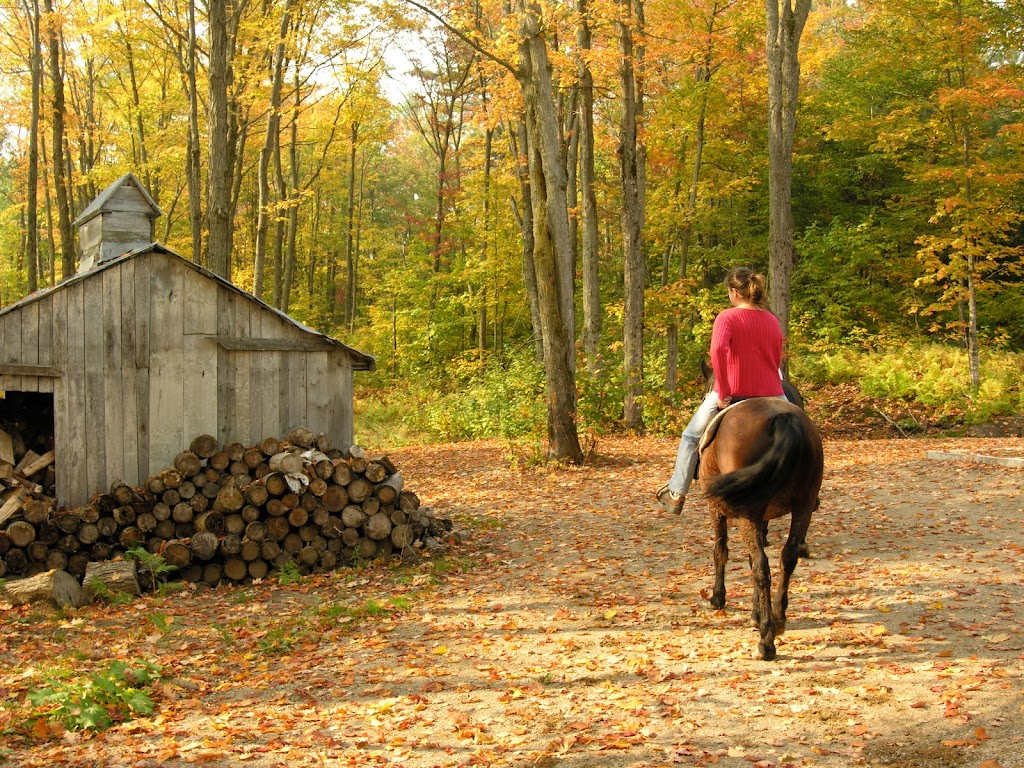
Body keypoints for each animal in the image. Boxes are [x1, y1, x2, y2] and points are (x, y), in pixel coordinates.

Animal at [696, 397, 823, 663]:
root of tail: (782, 418)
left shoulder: (718, 509)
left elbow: (721, 551)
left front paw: (717, 598)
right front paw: (755, 612)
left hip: (747, 513)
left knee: (762, 566)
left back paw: (766, 640)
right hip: (803, 507)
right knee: (787, 558)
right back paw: (778, 619)